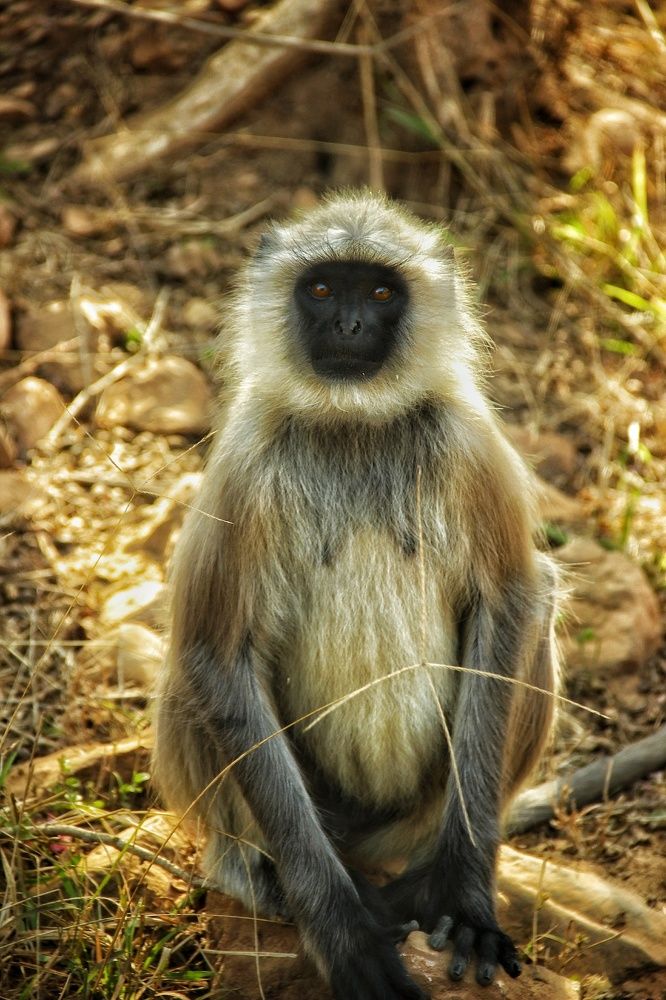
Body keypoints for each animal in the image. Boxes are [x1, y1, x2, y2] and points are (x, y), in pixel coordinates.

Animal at [153, 190, 559, 1000]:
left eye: (377, 292)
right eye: (320, 288)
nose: (347, 325)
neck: (355, 425)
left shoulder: (468, 443)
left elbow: (508, 604)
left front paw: (465, 895)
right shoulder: (246, 463)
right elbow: (217, 654)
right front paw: (342, 933)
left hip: (410, 818)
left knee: (543, 605)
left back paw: (420, 879)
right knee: (193, 671)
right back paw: (251, 871)